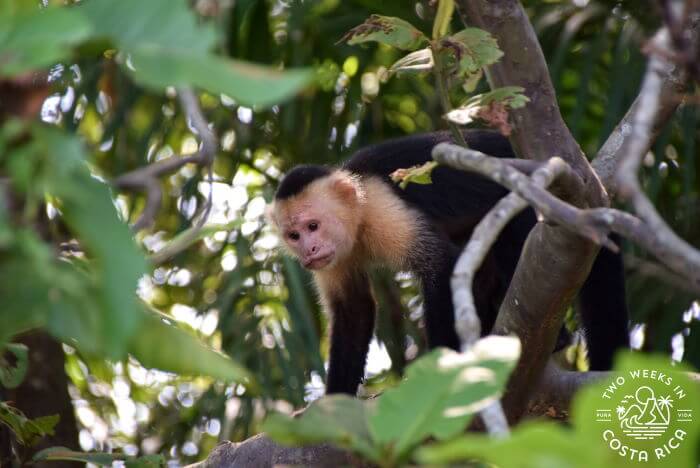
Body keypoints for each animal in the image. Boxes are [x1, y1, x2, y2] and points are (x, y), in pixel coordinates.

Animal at [267, 130, 629, 395]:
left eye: (313, 226)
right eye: (294, 235)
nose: (309, 250)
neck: (359, 218)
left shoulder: (385, 209)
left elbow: (441, 265)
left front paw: (440, 368)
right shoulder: (335, 258)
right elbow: (353, 310)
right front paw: (333, 403)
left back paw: (558, 338)